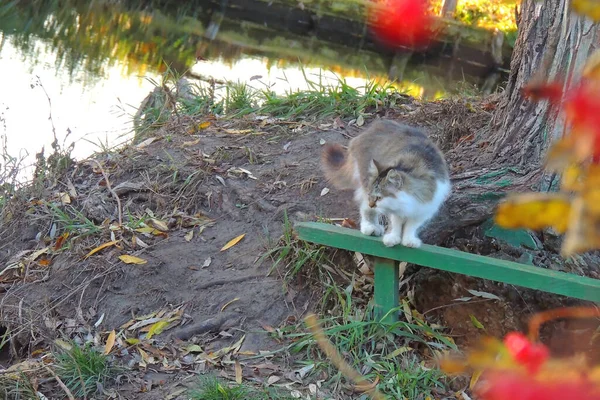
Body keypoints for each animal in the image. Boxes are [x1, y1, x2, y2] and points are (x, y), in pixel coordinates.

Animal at [322, 119, 448, 247]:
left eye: (379, 198)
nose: (371, 204)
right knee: (365, 209)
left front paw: (409, 240)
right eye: (373, 196)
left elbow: (411, 227)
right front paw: (392, 238)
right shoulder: (396, 210)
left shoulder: (425, 210)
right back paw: (370, 227)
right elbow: (396, 223)